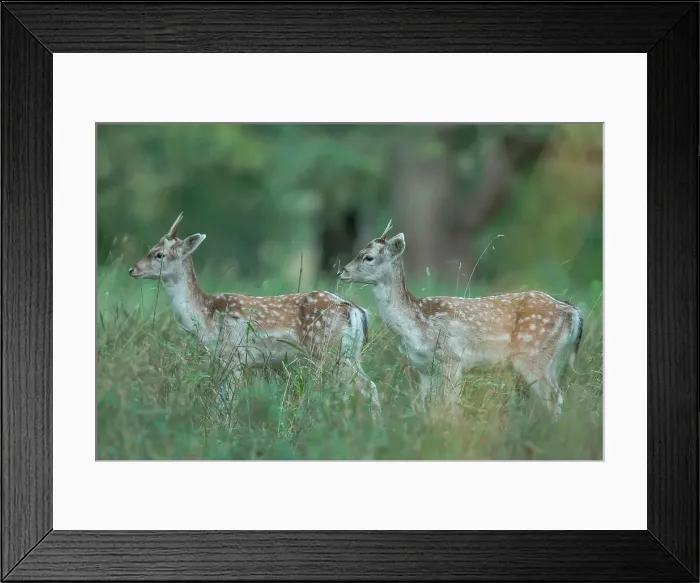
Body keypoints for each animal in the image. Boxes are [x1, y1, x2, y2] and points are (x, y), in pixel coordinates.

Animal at [128, 213, 380, 418]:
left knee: (364, 387)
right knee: (365, 387)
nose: (132, 269)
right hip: (351, 353)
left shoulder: (232, 355)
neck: (205, 317)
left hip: (329, 350)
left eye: (159, 254)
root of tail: (356, 310)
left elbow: (226, 401)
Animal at [337, 221, 583, 421]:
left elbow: (450, 406)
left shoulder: (452, 358)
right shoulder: (422, 367)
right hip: (550, 359)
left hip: (532, 356)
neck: (415, 322)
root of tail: (571, 311)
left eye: (368, 257)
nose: (341, 272)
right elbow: (422, 406)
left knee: (555, 397)